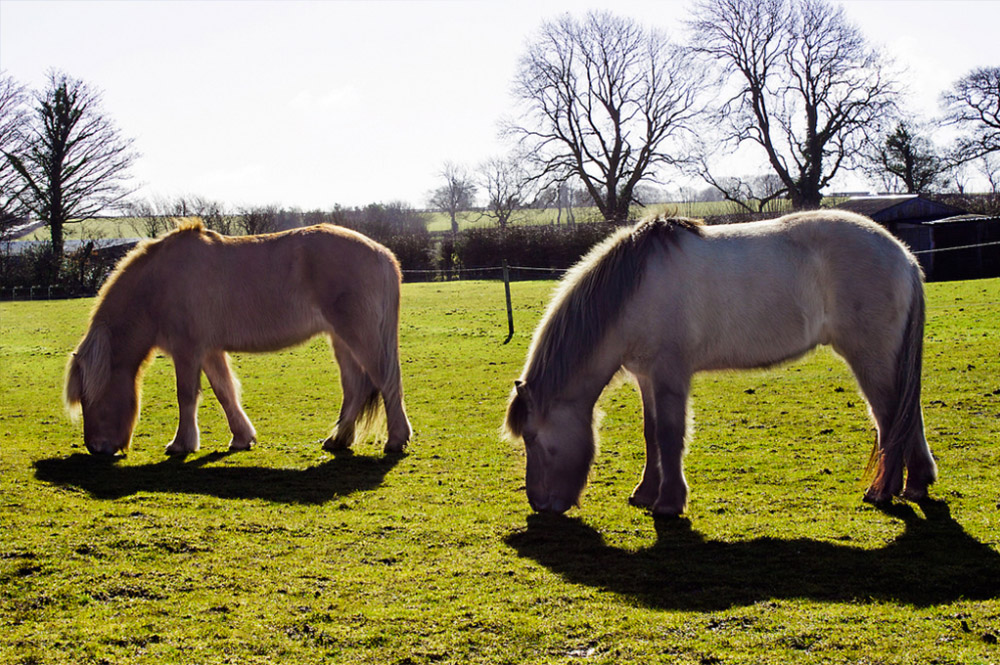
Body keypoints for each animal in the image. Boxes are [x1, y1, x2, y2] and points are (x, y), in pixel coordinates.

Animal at [65, 220, 412, 457]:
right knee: (356, 387)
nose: (96, 448)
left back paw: (396, 439)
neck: (159, 283)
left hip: (360, 337)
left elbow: (186, 395)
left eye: (91, 397)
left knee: (386, 381)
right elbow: (225, 392)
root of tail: (384, 255)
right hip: (341, 340)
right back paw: (338, 439)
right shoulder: (209, 351)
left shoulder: (187, 351)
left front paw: (181, 444)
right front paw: (242, 437)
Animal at [505, 210, 936, 517]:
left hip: (871, 357)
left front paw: (669, 502)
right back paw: (916, 484)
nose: (539, 505)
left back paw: (882, 491)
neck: (633, 289)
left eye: (534, 438)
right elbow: (650, 433)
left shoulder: (670, 373)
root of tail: (904, 256)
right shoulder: (646, 376)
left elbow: (670, 434)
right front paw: (645, 493)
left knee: (889, 417)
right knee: (907, 415)